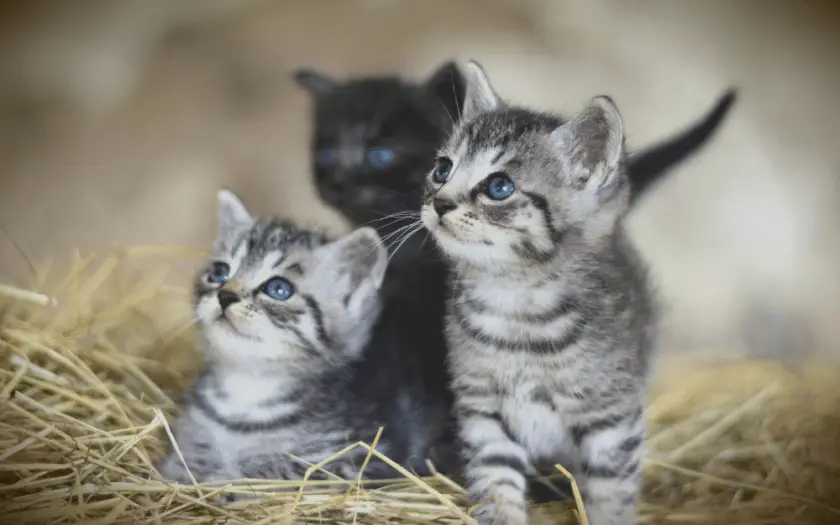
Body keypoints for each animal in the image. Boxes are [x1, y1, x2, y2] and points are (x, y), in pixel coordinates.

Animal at [159, 190, 396, 494]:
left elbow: (278, 473)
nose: (225, 295)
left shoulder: (361, 458)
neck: (247, 390)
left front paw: (225, 480)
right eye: (219, 272)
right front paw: (187, 468)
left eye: (279, 289)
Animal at [420, 62, 656, 524]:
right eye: (442, 169)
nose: (439, 203)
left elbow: (612, 494)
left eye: (499, 187)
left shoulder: (612, 417)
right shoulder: (483, 410)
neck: (515, 304)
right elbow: (495, 482)